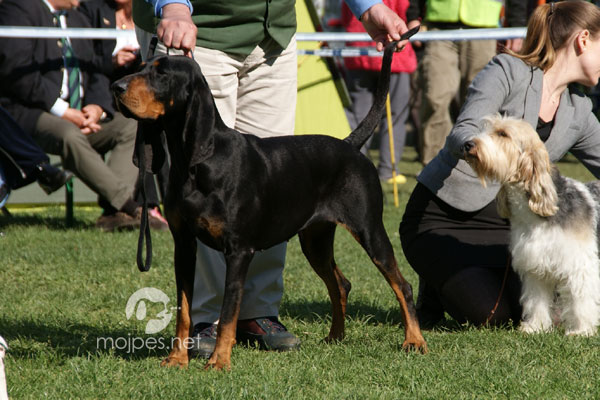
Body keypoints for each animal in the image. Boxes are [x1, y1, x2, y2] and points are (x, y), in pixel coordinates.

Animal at [464, 115, 600, 334]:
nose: (467, 144)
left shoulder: (579, 265)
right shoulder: (535, 265)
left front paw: (581, 330)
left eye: (503, 134)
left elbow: (581, 301)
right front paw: (535, 326)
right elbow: (536, 300)